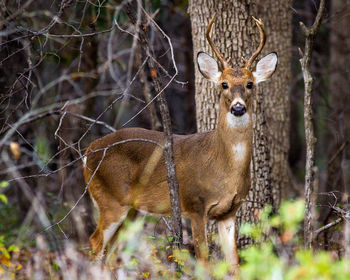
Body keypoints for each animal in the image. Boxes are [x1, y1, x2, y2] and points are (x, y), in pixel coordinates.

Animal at [83, 15, 278, 272]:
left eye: (250, 84)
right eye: (224, 84)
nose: (238, 108)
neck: (224, 167)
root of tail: (87, 151)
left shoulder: (229, 212)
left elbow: (234, 263)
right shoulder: (195, 204)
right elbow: (204, 260)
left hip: (133, 210)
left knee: (113, 253)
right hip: (110, 199)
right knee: (95, 243)